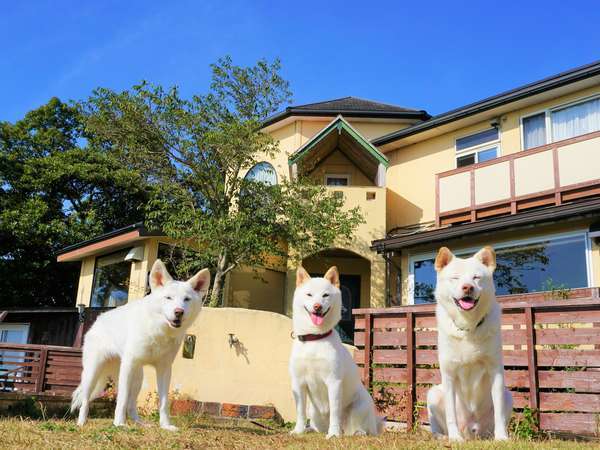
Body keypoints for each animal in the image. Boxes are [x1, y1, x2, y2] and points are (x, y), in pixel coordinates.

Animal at [70, 262, 210, 430]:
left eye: (186, 299)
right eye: (168, 298)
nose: (179, 312)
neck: (158, 330)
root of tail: (98, 320)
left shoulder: (164, 370)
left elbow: (163, 402)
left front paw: (165, 426)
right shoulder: (128, 366)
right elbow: (122, 399)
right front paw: (119, 423)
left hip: (138, 380)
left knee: (132, 406)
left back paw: (140, 423)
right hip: (93, 372)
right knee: (86, 400)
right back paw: (81, 422)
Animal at [288, 266, 382, 438]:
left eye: (325, 295)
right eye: (309, 294)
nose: (317, 306)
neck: (315, 338)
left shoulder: (334, 382)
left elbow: (335, 412)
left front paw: (333, 434)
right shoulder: (298, 383)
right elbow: (300, 412)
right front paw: (298, 431)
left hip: (359, 407)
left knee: (361, 428)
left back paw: (355, 432)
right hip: (314, 413)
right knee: (317, 425)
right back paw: (311, 429)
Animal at [426, 246, 510, 440]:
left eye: (476, 277)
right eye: (455, 278)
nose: (468, 287)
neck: (468, 327)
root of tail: (471, 431)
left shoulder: (495, 371)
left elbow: (499, 412)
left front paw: (502, 438)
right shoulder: (449, 375)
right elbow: (451, 413)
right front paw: (455, 439)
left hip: (508, 395)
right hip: (433, 394)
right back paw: (444, 437)